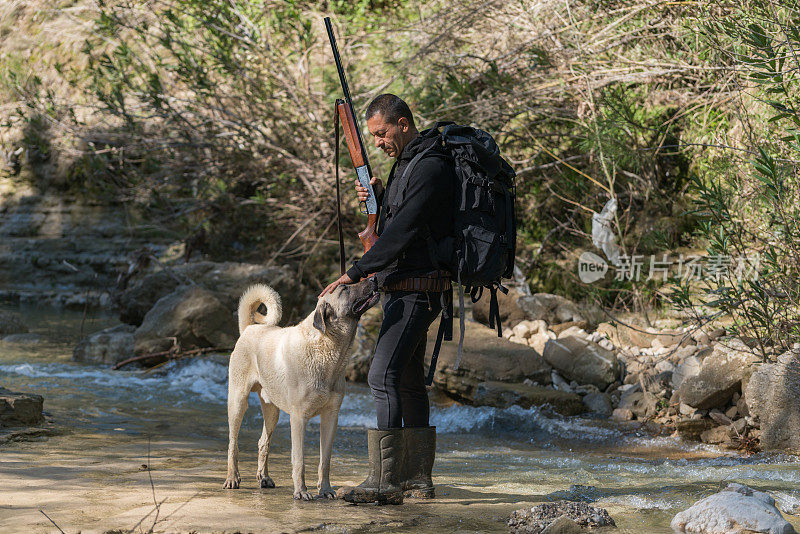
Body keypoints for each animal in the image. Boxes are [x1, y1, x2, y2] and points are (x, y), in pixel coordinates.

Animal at [222, 278, 378, 500]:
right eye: (345, 288)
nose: (373, 279)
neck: (328, 348)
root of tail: (250, 328)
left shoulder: (331, 417)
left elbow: (325, 460)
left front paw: (325, 489)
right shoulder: (298, 419)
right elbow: (299, 460)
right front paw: (301, 492)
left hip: (272, 411)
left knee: (263, 442)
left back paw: (264, 478)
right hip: (237, 401)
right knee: (232, 443)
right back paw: (232, 478)